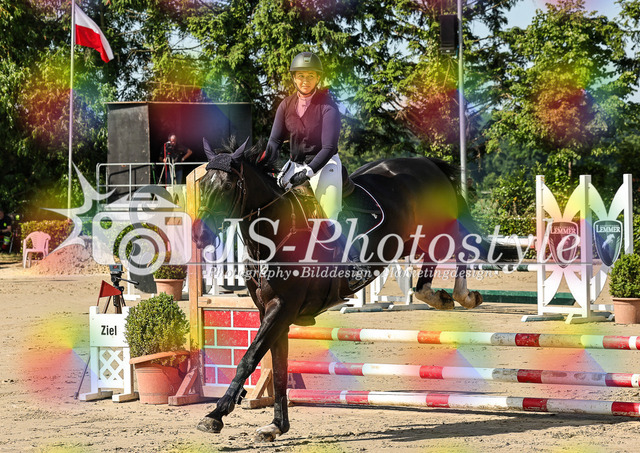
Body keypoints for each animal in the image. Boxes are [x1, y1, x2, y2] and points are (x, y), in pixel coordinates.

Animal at [192, 139, 517, 441]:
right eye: (202, 184)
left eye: (227, 186)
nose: (199, 235)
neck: (273, 236)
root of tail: (425, 162)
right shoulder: (271, 314)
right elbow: (278, 368)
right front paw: (276, 426)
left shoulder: (281, 308)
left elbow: (249, 359)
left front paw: (215, 415)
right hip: (408, 239)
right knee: (430, 267)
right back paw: (439, 296)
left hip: (436, 228)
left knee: (461, 247)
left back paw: (462, 296)